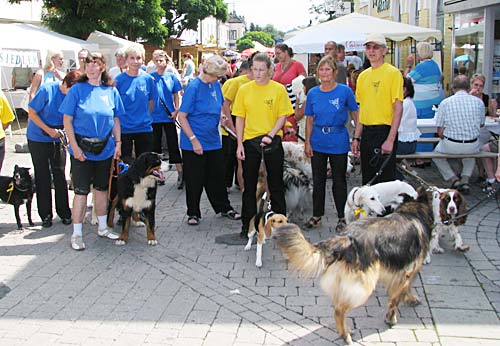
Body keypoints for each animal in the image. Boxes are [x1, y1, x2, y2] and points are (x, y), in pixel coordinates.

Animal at [274, 191, 434, 344]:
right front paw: (392, 317)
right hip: (363, 288)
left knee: (338, 306)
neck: (412, 212)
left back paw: (346, 330)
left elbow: (403, 289)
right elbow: (396, 298)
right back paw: (346, 336)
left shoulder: (400, 272)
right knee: (339, 310)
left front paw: (409, 298)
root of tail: (346, 238)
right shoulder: (408, 270)